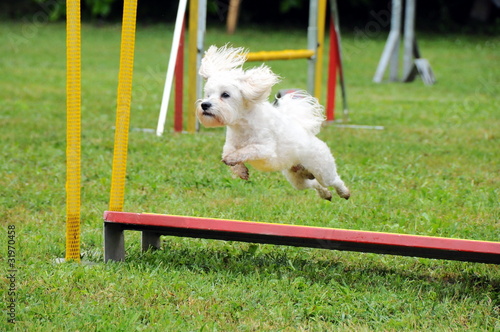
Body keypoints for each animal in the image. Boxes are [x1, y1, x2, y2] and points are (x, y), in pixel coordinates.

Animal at [196, 45, 352, 201]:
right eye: (208, 95)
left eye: (225, 94)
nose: (205, 105)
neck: (243, 125)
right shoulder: (230, 144)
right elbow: (227, 153)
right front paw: (240, 170)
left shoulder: (265, 148)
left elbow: (248, 149)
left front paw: (233, 158)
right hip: (297, 178)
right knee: (314, 184)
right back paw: (326, 194)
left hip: (322, 169)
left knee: (334, 180)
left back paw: (344, 192)